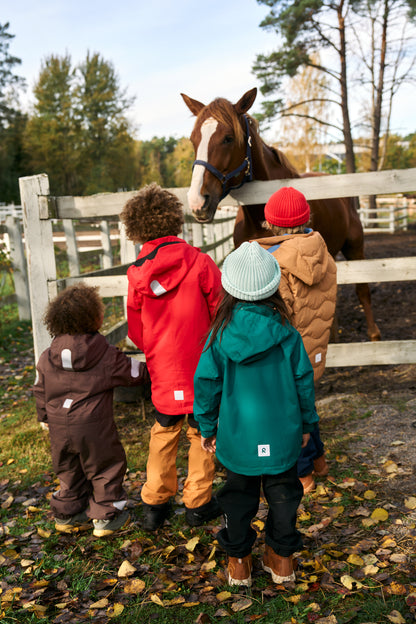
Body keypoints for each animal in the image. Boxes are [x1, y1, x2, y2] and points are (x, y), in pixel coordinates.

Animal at [180, 86, 382, 342]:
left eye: (228, 138)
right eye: (194, 139)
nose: (198, 200)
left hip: (355, 247)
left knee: (363, 289)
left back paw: (374, 335)